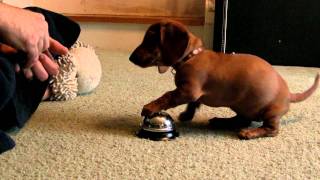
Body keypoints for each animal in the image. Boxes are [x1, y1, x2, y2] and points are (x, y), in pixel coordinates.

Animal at [129, 20, 318, 141]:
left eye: (149, 40)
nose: (130, 58)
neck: (191, 57)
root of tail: (290, 94)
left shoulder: (187, 90)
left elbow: (168, 95)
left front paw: (150, 107)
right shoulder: (192, 94)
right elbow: (193, 104)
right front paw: (187, 115)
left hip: (270, 112)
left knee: (271, 129)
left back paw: (250, 133)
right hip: (242, 106)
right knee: (242, 120)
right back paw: (221, 121)